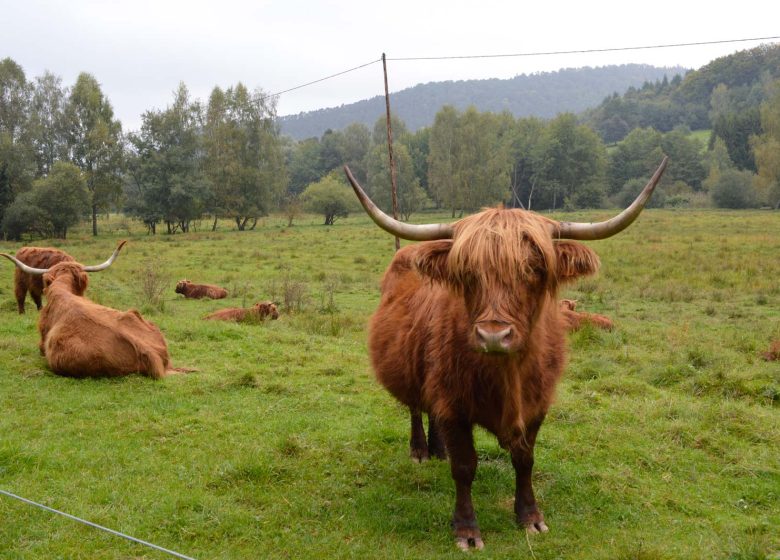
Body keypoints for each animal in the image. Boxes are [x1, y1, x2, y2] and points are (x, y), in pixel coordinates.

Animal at [344, 155, 668, 548]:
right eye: (466, 273)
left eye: (535, 268)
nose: (494, 336)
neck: (507, 375)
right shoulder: (453, 404)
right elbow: (464, 466)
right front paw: (466, 529)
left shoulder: (537, 404)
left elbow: (524, 459)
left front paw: (530, 517)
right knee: (416, 408)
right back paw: (421, 450)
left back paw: (437, 449)